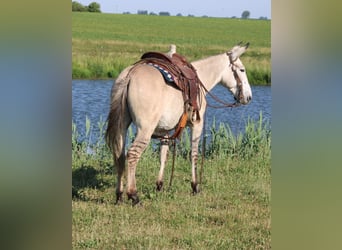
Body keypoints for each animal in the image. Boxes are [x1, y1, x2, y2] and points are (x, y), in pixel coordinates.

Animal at [105, 42, 252, 205]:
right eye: (242, 70)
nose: (249, 97)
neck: (200, 79)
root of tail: (131, 74)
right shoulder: (197, 125)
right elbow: (194, 154)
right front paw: (195, 186)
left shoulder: (165, 130)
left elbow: (163, 155)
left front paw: (159, 185)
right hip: (145, 130)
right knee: (132, 155)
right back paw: (134, 195)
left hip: (122, 126)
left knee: (119, 156)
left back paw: (119, 195)